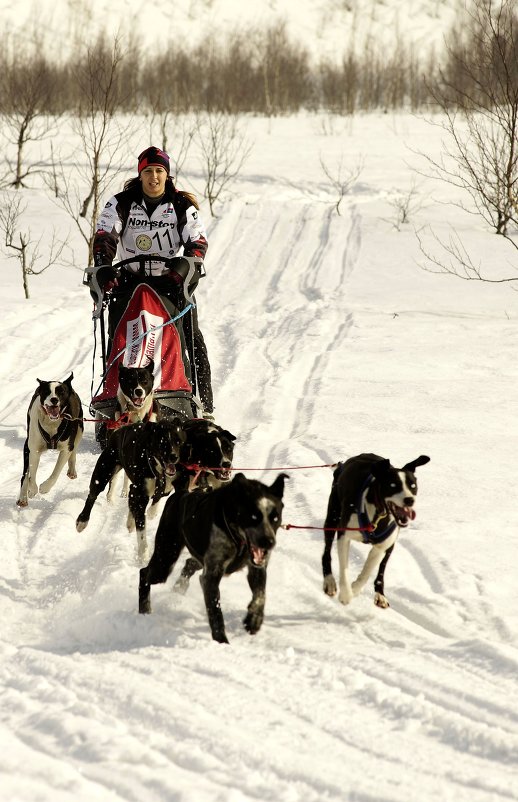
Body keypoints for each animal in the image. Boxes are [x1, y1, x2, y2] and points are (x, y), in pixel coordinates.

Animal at [17, 372, 85, 504]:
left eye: (61, 392)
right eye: (47, 392)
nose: (54, 399)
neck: (51, 423)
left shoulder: (66, 448)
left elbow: (56, 472)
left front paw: (45, 487)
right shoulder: (34, 449)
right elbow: (31, 473)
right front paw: (32, 489)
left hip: (79, 429)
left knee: (74, 450)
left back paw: (72, 470)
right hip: (27, 446)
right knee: (25, 474)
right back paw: (23, 497)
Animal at [75, 418, 185, 564]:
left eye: (178, 441)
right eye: (163, 442)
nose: (174, 456)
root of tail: (117, 430)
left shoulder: (156, 488)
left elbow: (155, 500)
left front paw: (150, 513)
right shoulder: (140, 492)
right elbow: (141, 529)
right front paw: (143, 555)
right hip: (103, 471)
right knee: (92, 495)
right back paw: (82, 520)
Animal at [139, 472, 288, 640]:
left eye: (275, 517)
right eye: (253, 516)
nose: (269, 542)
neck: (238, 540)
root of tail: (182, 493)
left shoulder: (257, 569)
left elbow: (260, 595)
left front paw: (254, 619)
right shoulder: (211, 576)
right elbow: (215, 612)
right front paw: (221, 641)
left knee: (189, 563)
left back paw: (179, 587)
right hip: (165, 558)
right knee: (144, 573)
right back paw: (144, 609)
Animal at [324, 454, 430, 604]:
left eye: (413, 485)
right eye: (393, 485)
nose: (410, 500)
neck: (378, 516)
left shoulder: (381, 547)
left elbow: (367, 572)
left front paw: (355, 588)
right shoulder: (344, 536)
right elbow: (344, 568)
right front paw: (346, 594)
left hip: (391, 546)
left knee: (382, 568)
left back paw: (380, 594)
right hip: (332, 518)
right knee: (326, 552)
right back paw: (329, 581)